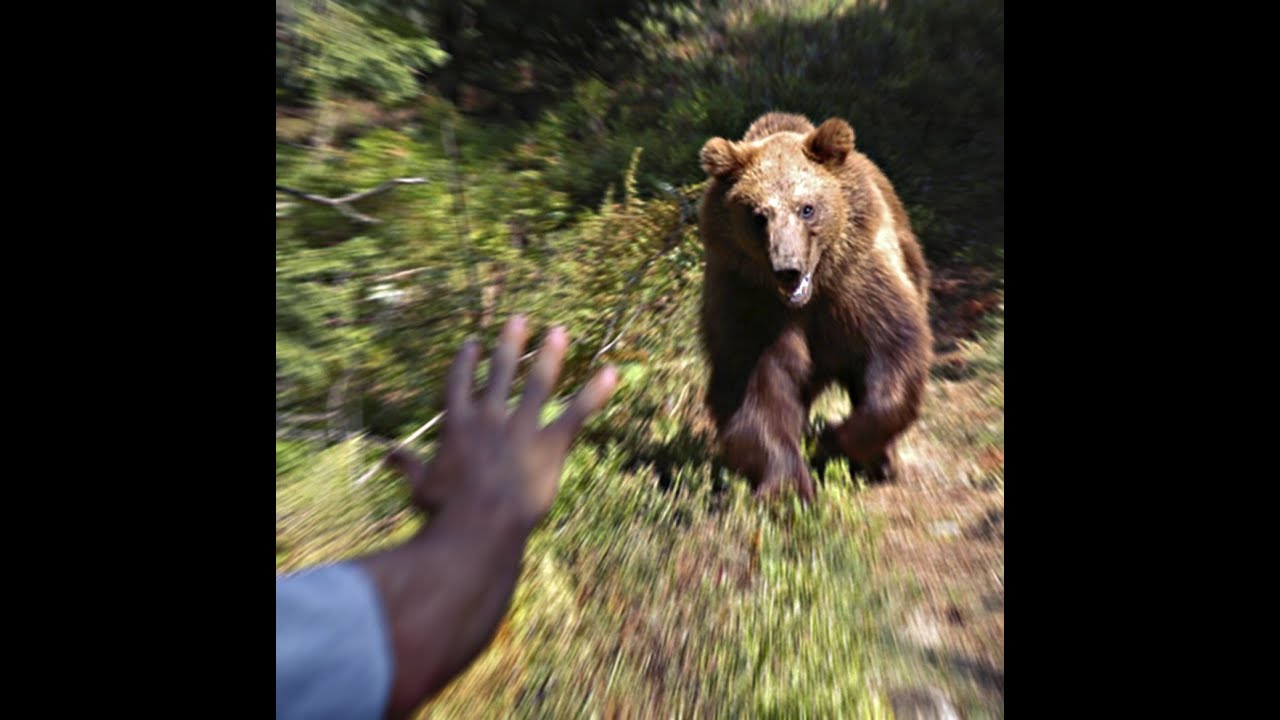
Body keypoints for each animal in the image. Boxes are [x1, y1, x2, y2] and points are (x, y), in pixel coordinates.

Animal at [697, 111, 932, 501]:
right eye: (758, 215)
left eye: (807, 208)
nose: (788, 268)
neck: (809, 297)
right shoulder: (749, 305)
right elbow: (756, 394)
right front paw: (788, 486)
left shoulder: (858, 287)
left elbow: (894, 351)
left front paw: (834, 439)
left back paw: (881, 463)